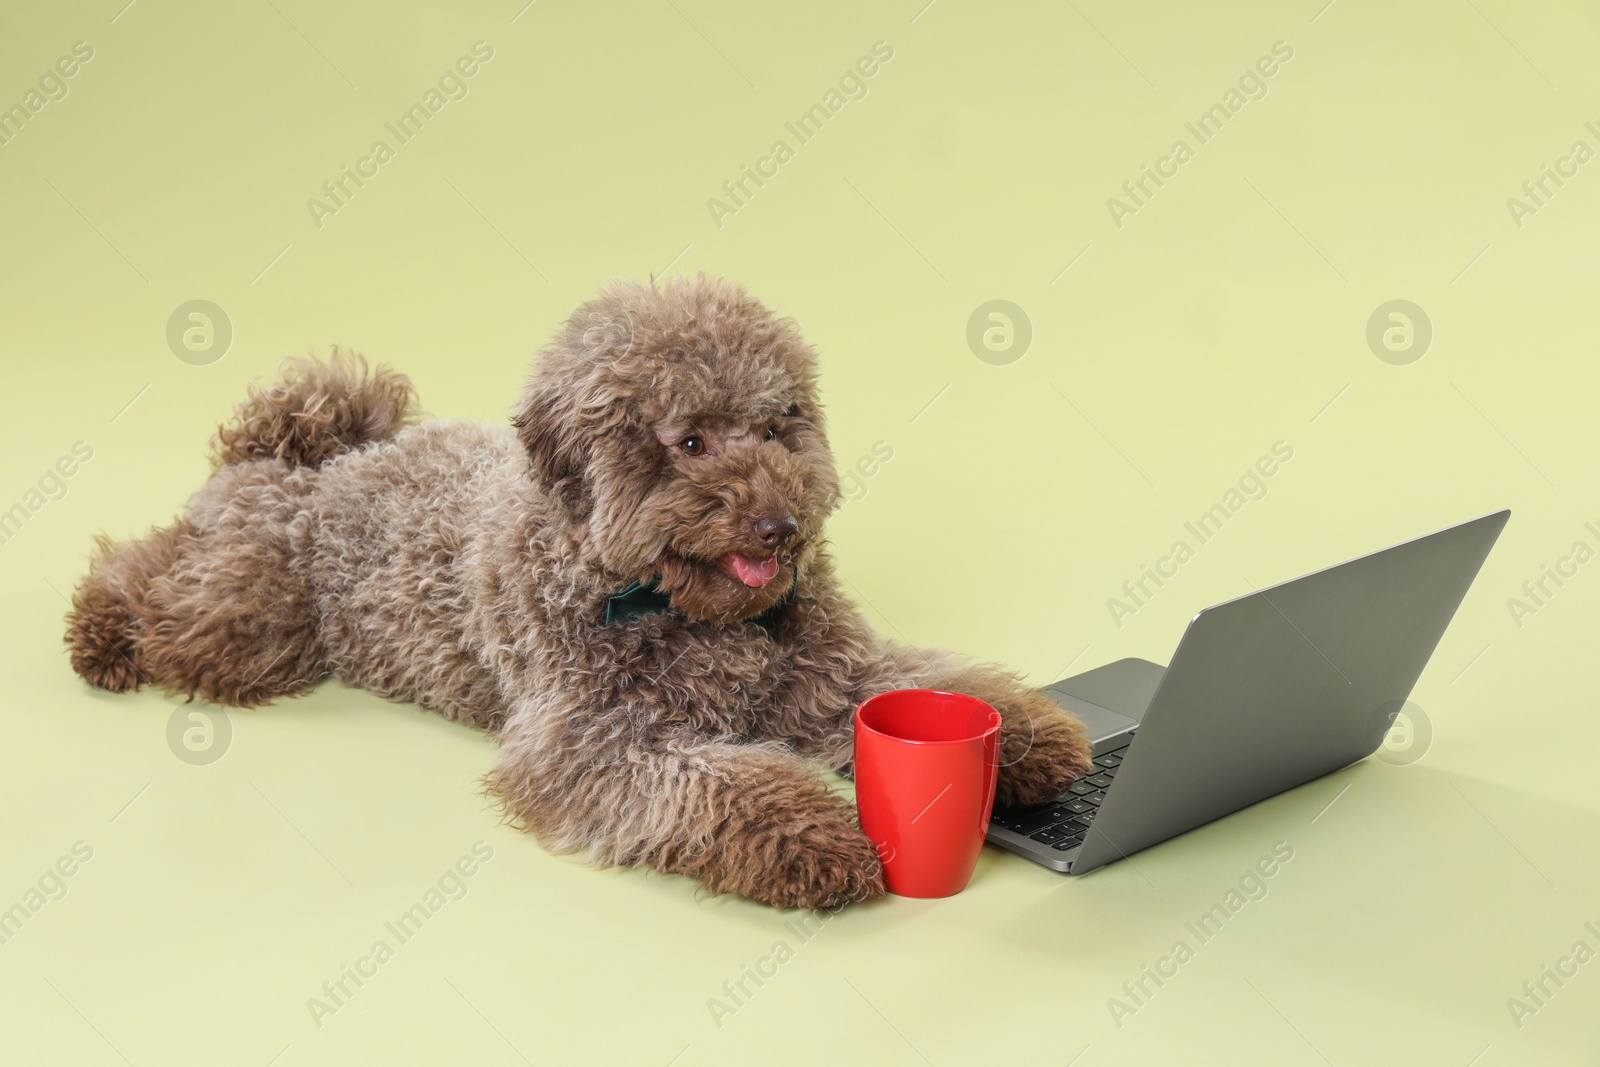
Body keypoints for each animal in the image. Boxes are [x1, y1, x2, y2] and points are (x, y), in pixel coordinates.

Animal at [65, 275, 1088, 908]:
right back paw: (101, 631)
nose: (779, 525)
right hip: (253, 613)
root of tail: (313, 451)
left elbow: (920, 683)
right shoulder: (593, 742)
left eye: (776, 425)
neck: (669, 601)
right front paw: (823, 842)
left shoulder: (825, 675)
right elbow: (729, 787)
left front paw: (1028, 737)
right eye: (690, 440)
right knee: (157, 577)